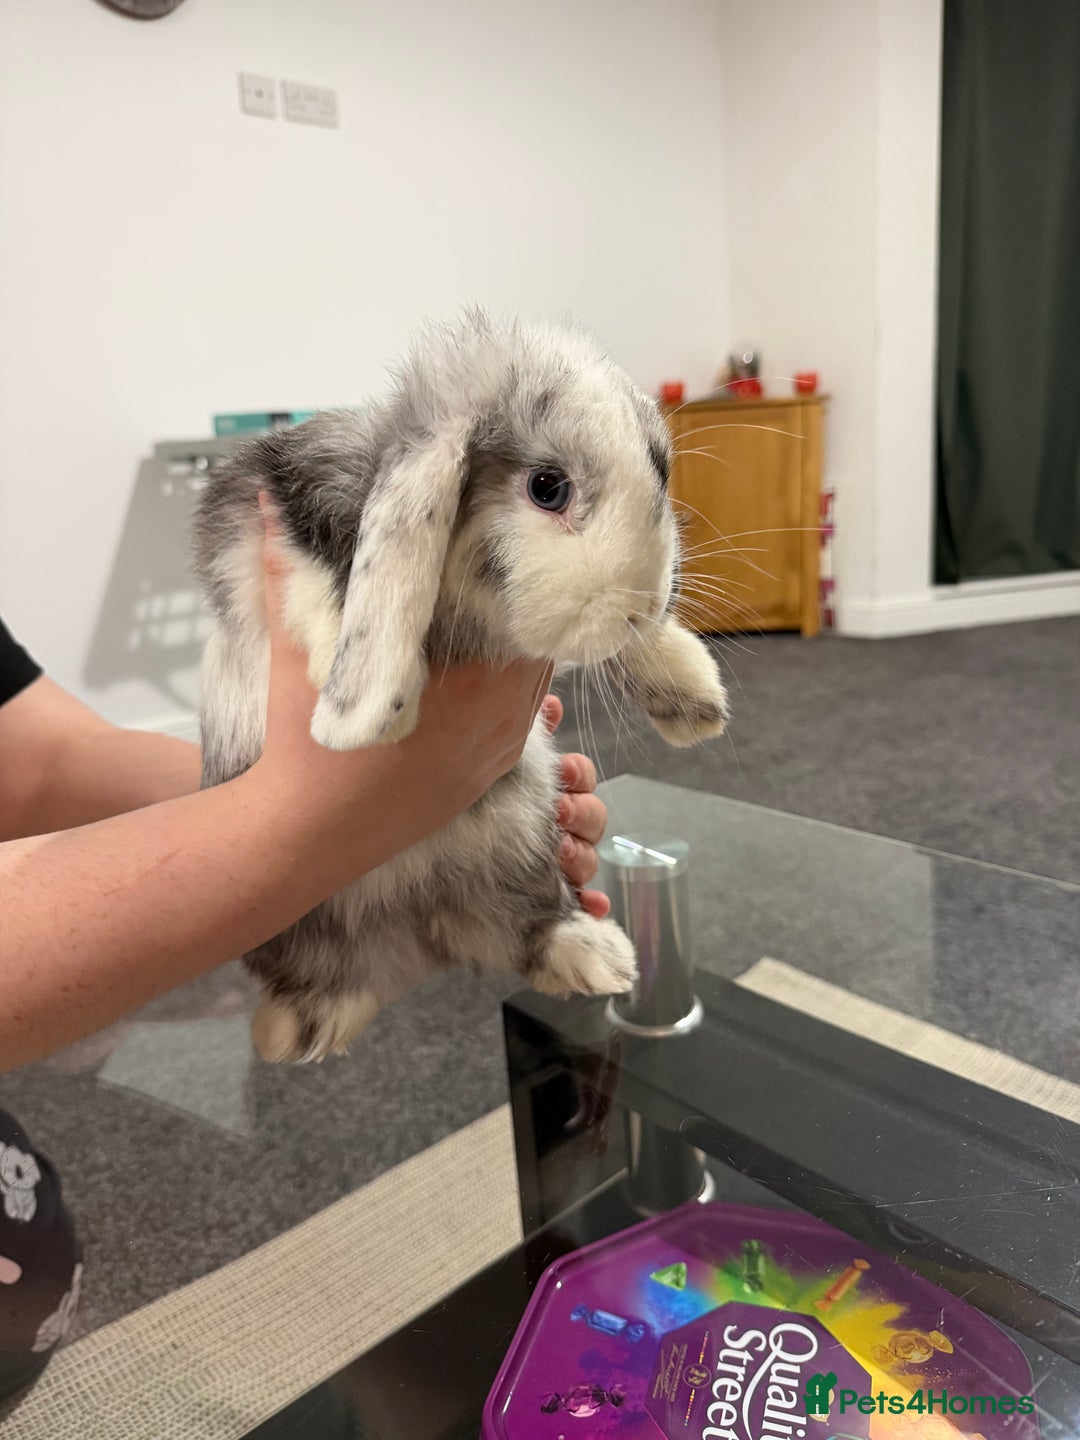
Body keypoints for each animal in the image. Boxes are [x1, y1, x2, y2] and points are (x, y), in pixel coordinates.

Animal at [193, 310, 728, 1063]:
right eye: (547, 487)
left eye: (659, 471)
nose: (642, 604)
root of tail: (416, 945)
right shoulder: (264, 508)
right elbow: (315, 574)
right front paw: (351, 695)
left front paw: (694, 698)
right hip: (287, 913)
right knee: (326, 977)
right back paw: (299, 1029)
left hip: (520, 834)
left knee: (520, 928)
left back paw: (600, 956)